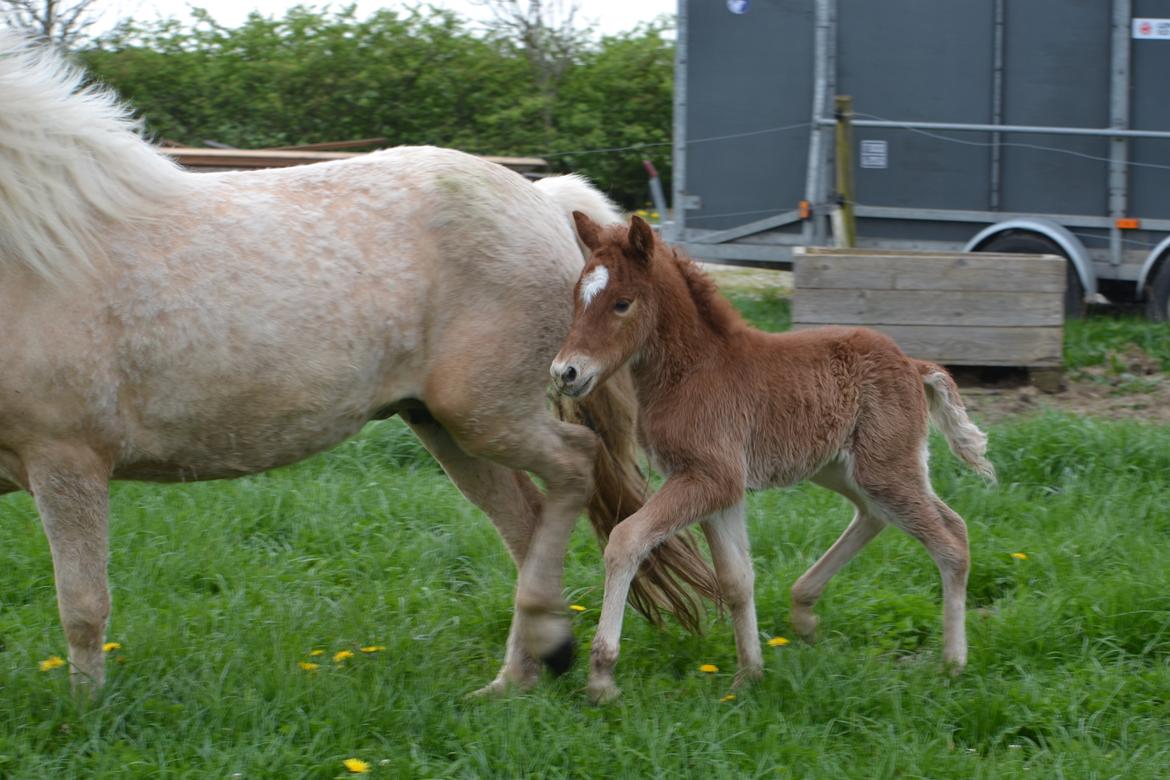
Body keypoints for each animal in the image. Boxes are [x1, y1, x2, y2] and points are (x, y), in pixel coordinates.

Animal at [552, 211, 992, 701]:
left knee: (948, 540)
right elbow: (736, 579)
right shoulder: (717, 487)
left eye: (622, 303)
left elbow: (626, 539)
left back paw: (953, 662)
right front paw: (749, 675)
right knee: (885, 516)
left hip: (884, 467)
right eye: (577, 297)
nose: (565, 372)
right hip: (844, 467)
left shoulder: (711, 478)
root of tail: (914, 365)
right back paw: (804, 611)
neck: (695, 369)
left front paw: (602, 674)